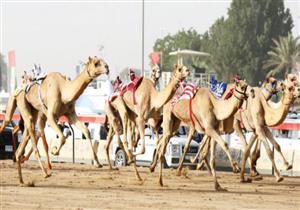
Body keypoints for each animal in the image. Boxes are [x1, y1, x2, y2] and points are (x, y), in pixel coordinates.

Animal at [14, 56, 109, 185]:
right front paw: (55, 151)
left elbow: (86, 131)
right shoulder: (50, 116)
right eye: (96, 63)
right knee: (32, 131)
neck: (64, 90)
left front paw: (98, 163)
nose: (107, 68)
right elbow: (63, 137)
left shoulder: (71, 114)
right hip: (23, 102)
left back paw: (22, 180)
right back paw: (45, 173)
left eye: (102, 61)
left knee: (24, 141)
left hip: (35, 111)